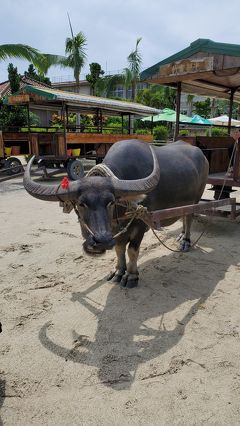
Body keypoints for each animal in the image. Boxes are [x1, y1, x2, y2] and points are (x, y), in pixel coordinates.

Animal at [23, 140, 209, 290]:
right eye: (81, 204)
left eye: (111, 202)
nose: (100, 242)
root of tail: (202, 155)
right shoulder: (115, 230)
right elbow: (119, 249)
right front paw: (119, 272)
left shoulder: (140, 225)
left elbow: (132, 251)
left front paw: (131, 276)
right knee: (184, 216)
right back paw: (181, 236)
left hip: (196, 199)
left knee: (189, 217)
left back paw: (185, 241)